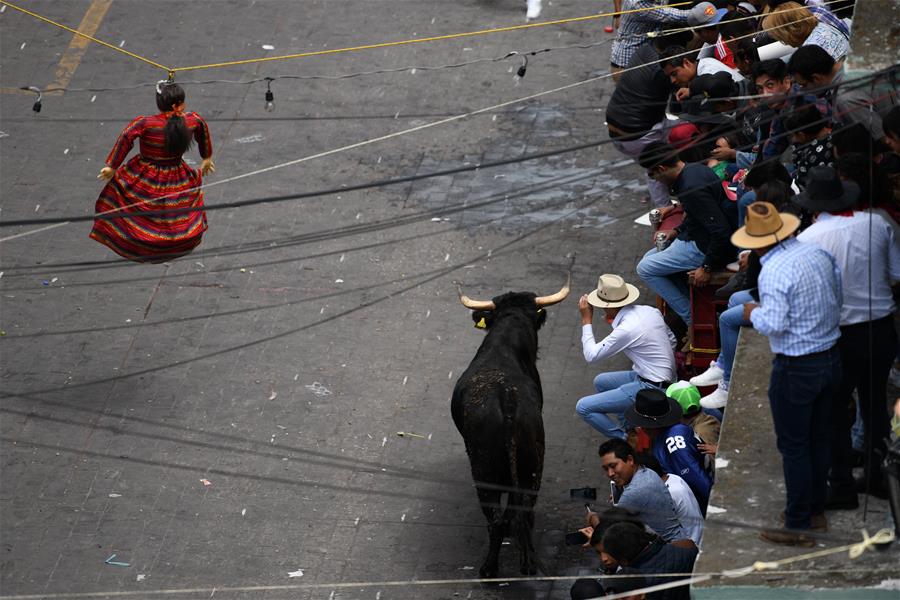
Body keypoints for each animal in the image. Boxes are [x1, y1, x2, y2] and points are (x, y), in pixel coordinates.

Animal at [454, 288, 568, 580]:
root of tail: (506, 400)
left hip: (484, 472)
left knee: (496, 518)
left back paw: (489, 570)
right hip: (532, 464)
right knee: (523, 512)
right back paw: (527, 564)